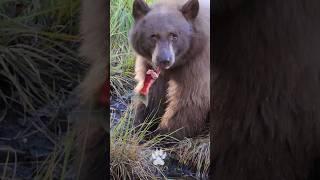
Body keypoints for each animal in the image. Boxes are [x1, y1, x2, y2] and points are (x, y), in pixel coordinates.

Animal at [129, 0, 211, 139]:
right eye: (153, 36)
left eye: (174, 35)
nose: (164, 60)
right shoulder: (150, 65)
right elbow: (152, 92)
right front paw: (142, 124)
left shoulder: (197, 64)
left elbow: (189, 99)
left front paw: (163, 134)